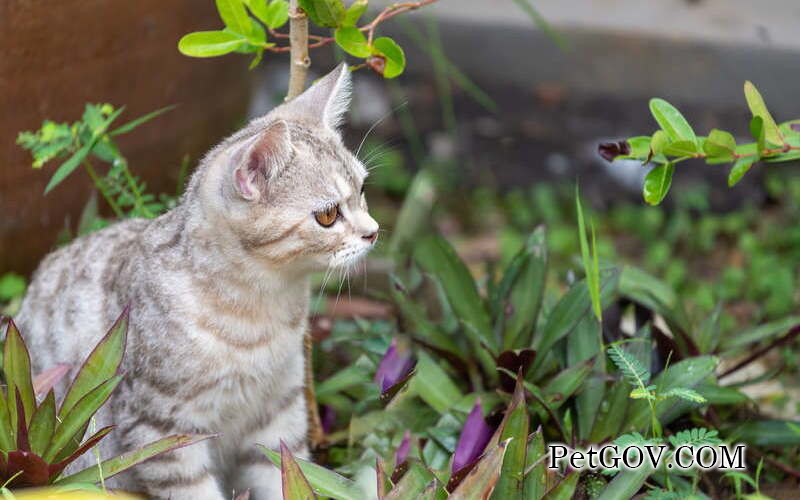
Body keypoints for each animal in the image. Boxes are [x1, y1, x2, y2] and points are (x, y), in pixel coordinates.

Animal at [12, 64, 376, 498]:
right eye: (327, 215)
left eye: (362, 190)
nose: (373, 232)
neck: (261, 310)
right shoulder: (161, 428)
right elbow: (193, 487)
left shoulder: (279, 413)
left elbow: (285, 475)